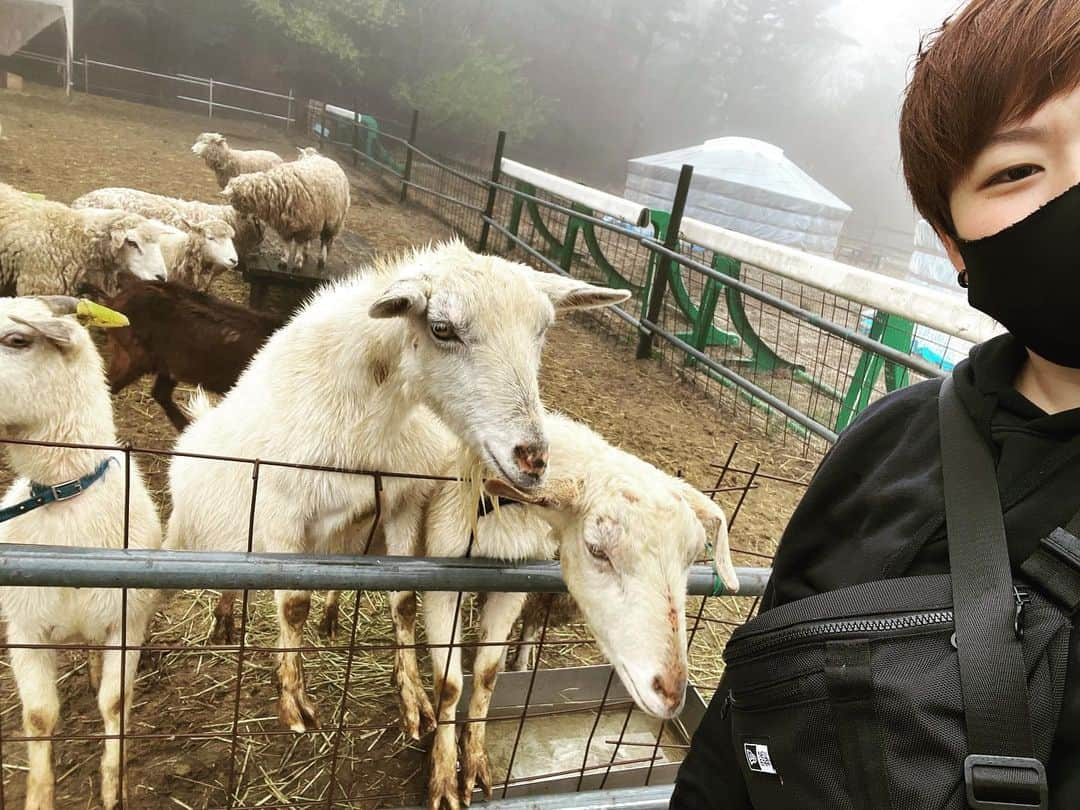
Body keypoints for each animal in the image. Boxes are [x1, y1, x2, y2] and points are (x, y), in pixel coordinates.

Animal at [0, 295, 162, 810]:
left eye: (17, 339)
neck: (64, 493)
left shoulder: (126, 622)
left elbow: (114, 702)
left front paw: (114, 788)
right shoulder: (25, 630)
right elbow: (38, 717)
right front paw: (38, 797)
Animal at [164, 243, 630, 734]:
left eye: (542, 330)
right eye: (441, 328)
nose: (533, 458)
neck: (371, 425)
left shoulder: (403, 501)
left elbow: (404, 601)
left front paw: (413, 700)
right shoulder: (281, 511)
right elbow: (292, 605)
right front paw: (294, 703)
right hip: (193, 533)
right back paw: (217, 620)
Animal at [393, 414, 738, 807]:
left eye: (693, 555)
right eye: (597, 549)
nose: (671, 693)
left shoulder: (511, 583)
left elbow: (486, 675)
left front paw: (475, 763)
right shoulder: (443, 580)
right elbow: (450, 686)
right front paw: (444, 778)